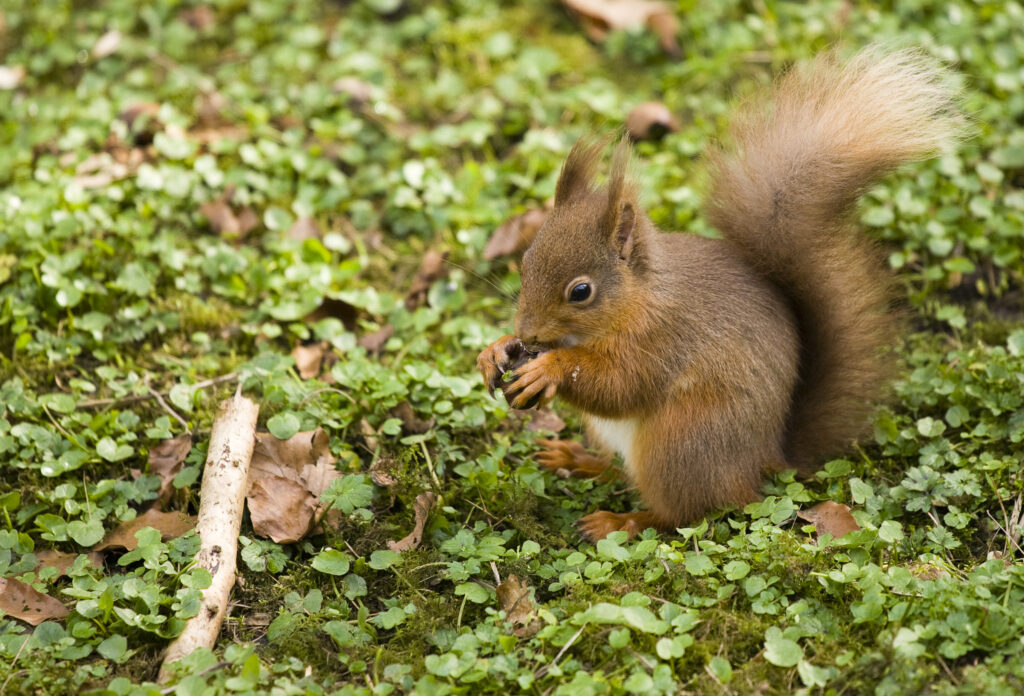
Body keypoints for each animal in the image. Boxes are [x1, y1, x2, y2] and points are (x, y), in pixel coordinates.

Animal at [477, 47, 962, 541]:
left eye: (580, 291)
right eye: (525, 261)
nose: (527, 332)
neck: (638, 298)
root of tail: (766, 460)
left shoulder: (663, 338)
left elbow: (621, 385)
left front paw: (549, 369)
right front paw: (494, 350)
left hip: (682, 445)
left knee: (683, 512)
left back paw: (620, 520)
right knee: (624, 474)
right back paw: (576, 459)